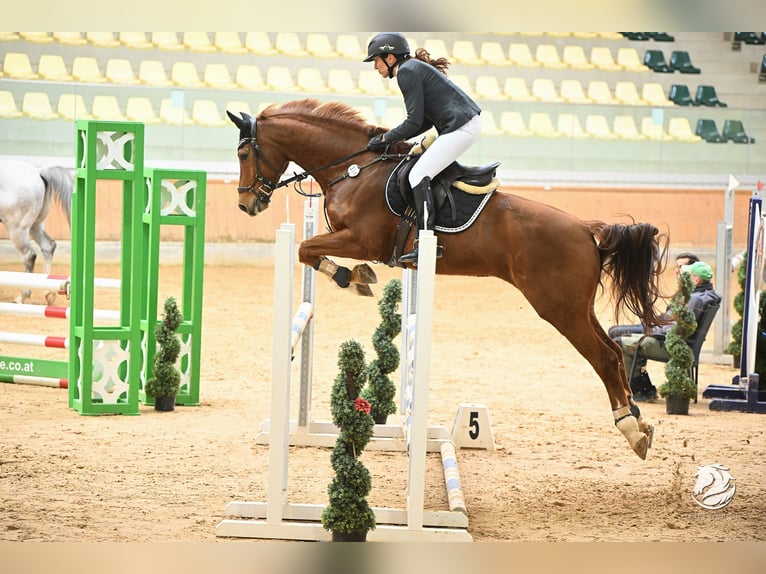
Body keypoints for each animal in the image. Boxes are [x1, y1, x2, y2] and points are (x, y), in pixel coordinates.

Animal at [0, 159, 73, 304]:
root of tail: (39, 173)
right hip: (36, 225)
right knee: (48, 246)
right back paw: (48, 293)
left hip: (17, 229)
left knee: (29, 255)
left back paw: (22, 296)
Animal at [226, 99, 669, 460]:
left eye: (245, 152)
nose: (247, 204)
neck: (351, 169)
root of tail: (585, 228)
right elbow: (309, 250)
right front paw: (358, 277)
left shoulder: (361, 239)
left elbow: (306, 249)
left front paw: (353, 276)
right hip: (576, 306)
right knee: (612, 350)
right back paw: (639, 420)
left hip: (558, 309)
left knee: (604, 357)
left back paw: (630, 428)